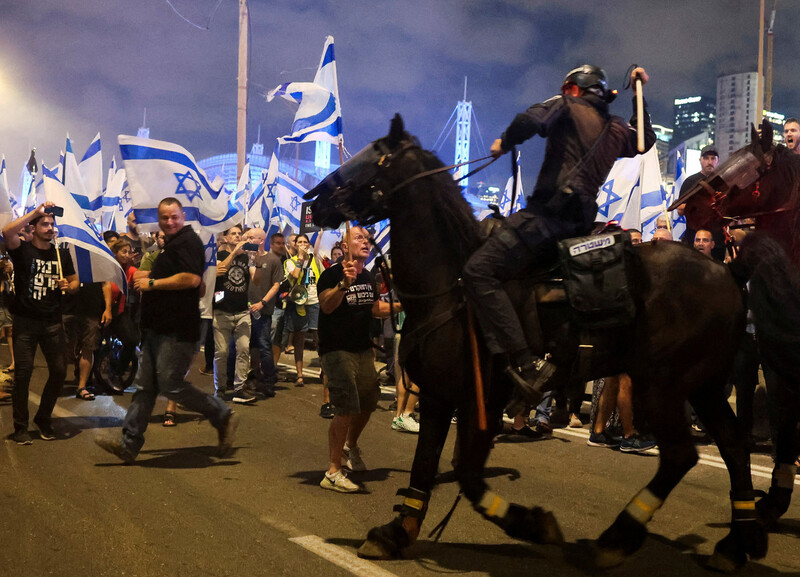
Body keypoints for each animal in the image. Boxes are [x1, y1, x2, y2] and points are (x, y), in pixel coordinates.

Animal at [308, 115, 768, 568]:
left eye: (372, 157)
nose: (313, 203)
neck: (452, 283)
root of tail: (727, 273)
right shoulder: (441, 396)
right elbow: (425, 468)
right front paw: (395, 534)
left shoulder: (481, 401)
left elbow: (466, 473)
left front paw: (532, 524)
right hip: (703, 386)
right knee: (732, 445)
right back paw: (734, 543)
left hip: (663, 386)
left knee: (681, 455)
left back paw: (616, 539)